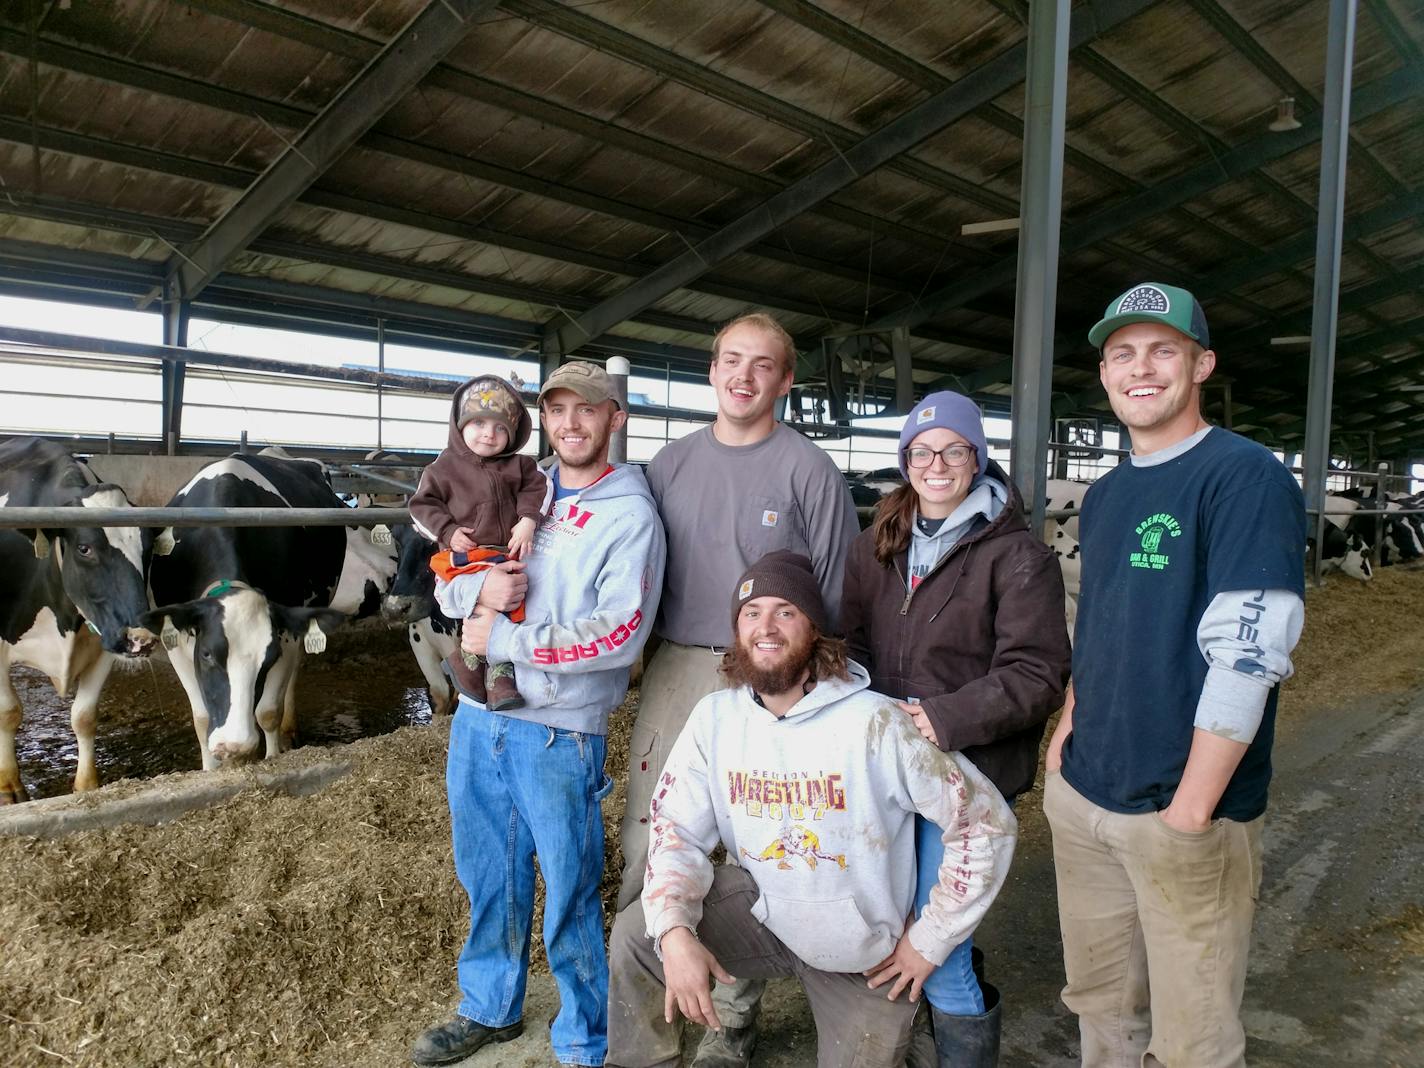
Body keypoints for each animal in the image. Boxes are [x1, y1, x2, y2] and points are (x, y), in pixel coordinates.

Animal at [0, 435, 158, 803]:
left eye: (148, 549)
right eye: (84, 548)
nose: (141, 638)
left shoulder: (103, 643)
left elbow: (84, 716)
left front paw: (87, 786)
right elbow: (8, 712)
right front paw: (10, 786)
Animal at [143, 455, 395, 774]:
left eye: (269, 658)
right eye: (207, 654)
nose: (234, 745)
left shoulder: (284, 635)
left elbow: (268, 712)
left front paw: (272, 756)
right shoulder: (177, 640)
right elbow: (202, 718)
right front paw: (211, 768)